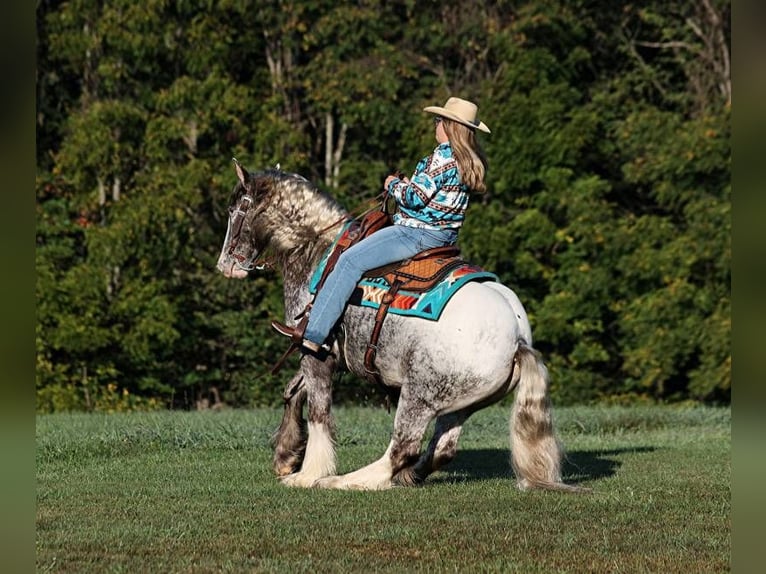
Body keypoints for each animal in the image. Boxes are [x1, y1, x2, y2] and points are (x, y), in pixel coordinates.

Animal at [216, 159, 576, 491]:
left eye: (235, 210)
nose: (225, 266)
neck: (318, 252)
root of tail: (518, 340)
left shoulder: (315, 350)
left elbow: (318, 410)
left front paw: (308, 473)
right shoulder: (324, 350)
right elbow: (293, 391)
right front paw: (285, 456)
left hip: (418, 395)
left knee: (403, 447)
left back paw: (345, 480)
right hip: (461, 404)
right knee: (441, 450)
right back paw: (406, 476)